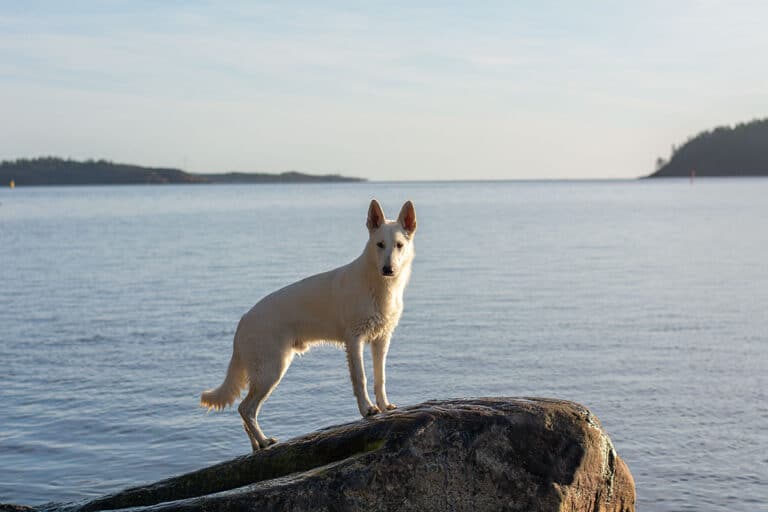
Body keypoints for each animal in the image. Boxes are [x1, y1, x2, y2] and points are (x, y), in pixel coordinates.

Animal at [198, 198, 414, 450]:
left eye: (399, 245)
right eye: (380, 244)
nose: (388, 270)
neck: (377, 284)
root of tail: (243, 321)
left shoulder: (381, 340)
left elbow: (380, 378)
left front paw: (384, 405)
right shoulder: (354, 341)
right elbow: (361, 378)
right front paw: (367, 409)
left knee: (244, 413)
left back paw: (257, 446)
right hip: (271, 371)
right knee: (246, 409)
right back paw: (264, 440)